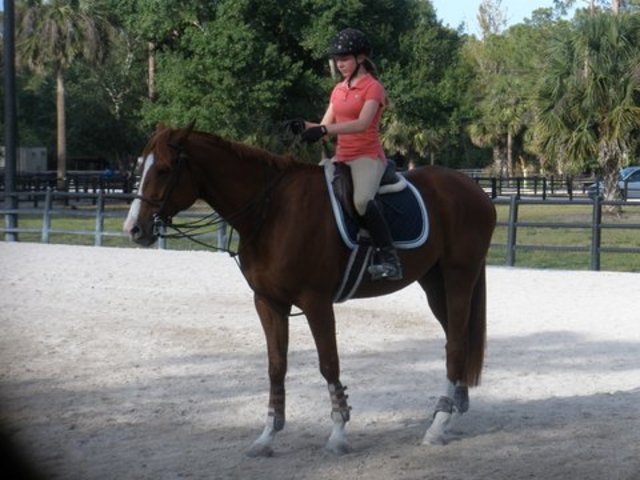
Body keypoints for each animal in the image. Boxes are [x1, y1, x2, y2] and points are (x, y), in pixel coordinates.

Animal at [123, 124, 496, 456]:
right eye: (140, 168)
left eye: (164, 169)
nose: (134, 228)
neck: (270, 212)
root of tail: (474, 188)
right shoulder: (269, 303)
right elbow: (276, 366)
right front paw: (267, 436)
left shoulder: (316, 302)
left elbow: (329, 364)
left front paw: (338, 434)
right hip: (434, 282)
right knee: (455, 340)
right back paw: (450, 413)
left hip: (458, 276)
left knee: (457, 344)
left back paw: (438, 425)